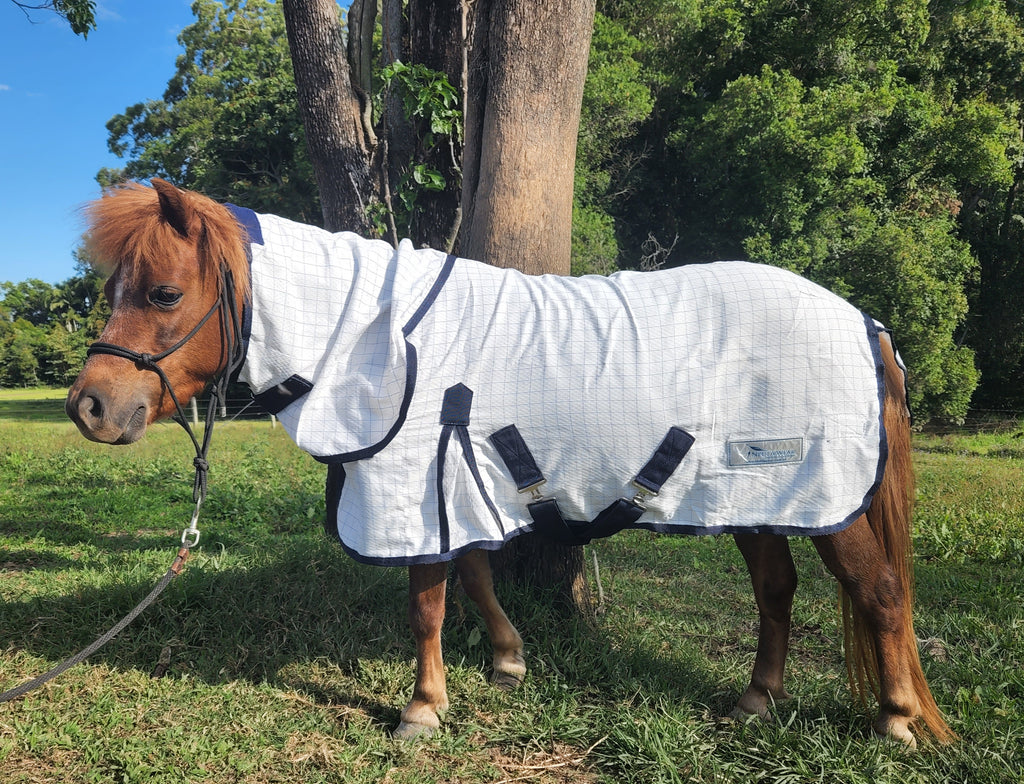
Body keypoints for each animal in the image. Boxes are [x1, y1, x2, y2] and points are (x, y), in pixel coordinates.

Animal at [65, 179, 953, 746]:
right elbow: (475, 575)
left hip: (819, 498)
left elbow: (427, 602)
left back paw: (897, 721)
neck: (377, 339)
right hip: (754, 496)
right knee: (777, 592)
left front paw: (421, 710)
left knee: (878, 592)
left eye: (164, 294)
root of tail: (865, 322)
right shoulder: (458, 484)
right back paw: (755, 703)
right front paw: (506, 660)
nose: (91, 407)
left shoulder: (415, 487)